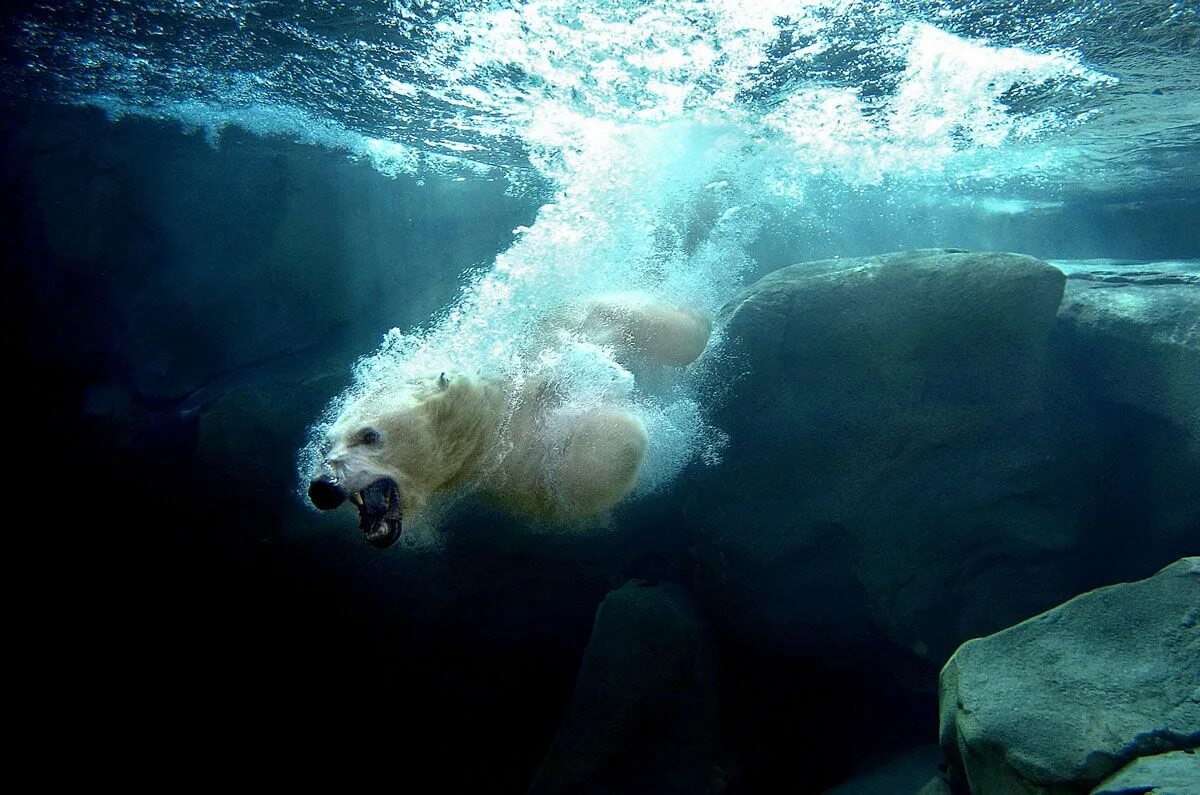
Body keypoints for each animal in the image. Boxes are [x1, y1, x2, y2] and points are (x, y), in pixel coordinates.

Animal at [304, 293, 710, 547]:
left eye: (369, 435)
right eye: (324, 447)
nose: (322, 486)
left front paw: (626, 414)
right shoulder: (505, 475)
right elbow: (553, 495)